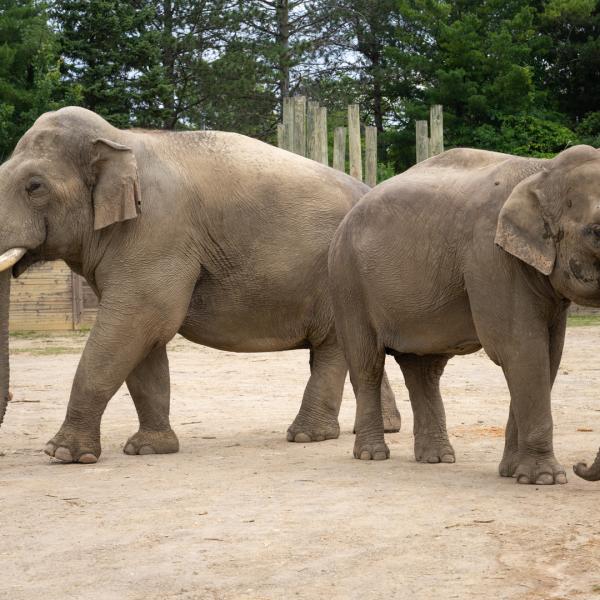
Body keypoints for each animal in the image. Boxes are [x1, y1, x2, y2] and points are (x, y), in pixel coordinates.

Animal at [0, 106, 404, 464]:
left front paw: (62, 454)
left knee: (331, 346)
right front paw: (148, 449)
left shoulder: (157, 233)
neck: (119, 139)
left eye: (34, 186)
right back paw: (380, 427)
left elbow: (137, 323)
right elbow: (145, 339)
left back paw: (308, 435)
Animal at [330, 144, 600, 482]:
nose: (580, 466)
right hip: (348, 283)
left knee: (423, 370)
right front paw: (545, 478)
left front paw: (512, 473)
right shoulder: (492, 257)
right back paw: (373, 455)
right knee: (367, 363)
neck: (542, 170)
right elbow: (520, 350)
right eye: (597, 232)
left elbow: (548, 355)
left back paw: (437, 459)